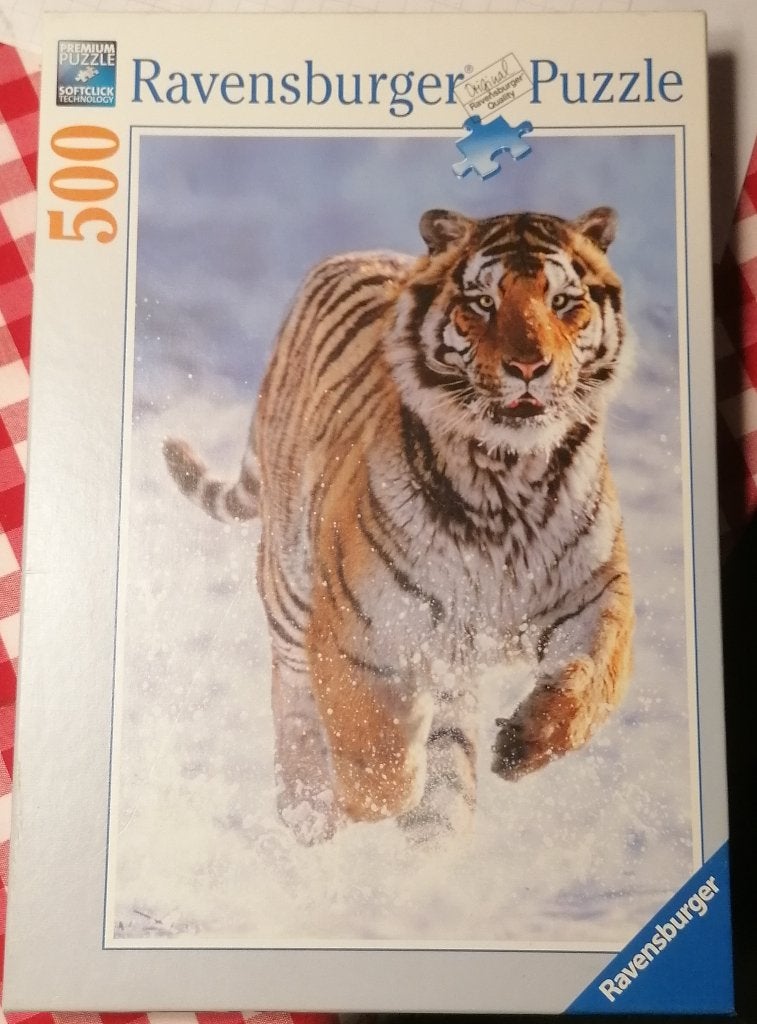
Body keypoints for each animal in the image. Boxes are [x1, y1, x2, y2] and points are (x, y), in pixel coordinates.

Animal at [163, 206, 634, 845]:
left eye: (563, 302)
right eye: (482, 302)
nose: (529, 368)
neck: (507, 478)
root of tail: (351, 254)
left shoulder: (595, 593)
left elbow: (593, 680)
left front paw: (524, 743)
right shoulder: (357, 633)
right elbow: (378, 768)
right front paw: (348, 798)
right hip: (290, 588)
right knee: (292, 694)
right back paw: (307, 807)